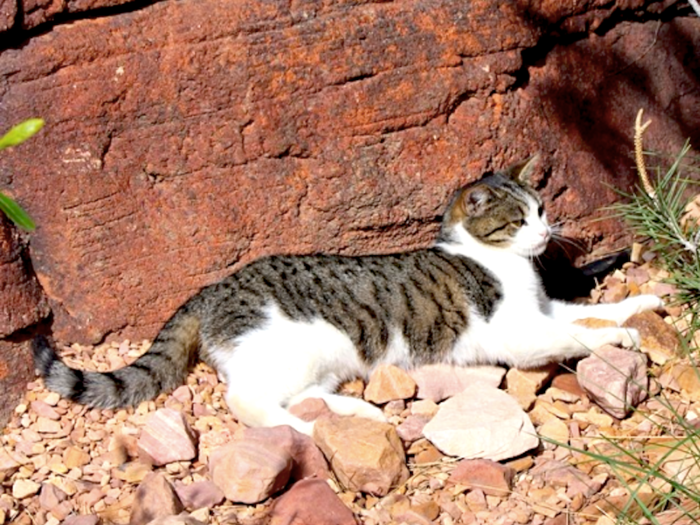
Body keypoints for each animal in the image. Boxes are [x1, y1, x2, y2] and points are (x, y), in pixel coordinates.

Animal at [32, 158, 664, 436]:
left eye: (542, 209)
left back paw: (361, 413)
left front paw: (640, 308)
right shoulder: (518, 333)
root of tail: (210, 290)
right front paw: (622, 340)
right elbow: (577, 334)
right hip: (293, 345)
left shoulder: (542, 308)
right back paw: (311, 432)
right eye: (519, 219)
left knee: (305, 394)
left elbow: (591, 311)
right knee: (251, 403)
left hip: (327, 357)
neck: (501, 262)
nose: (547, 232)